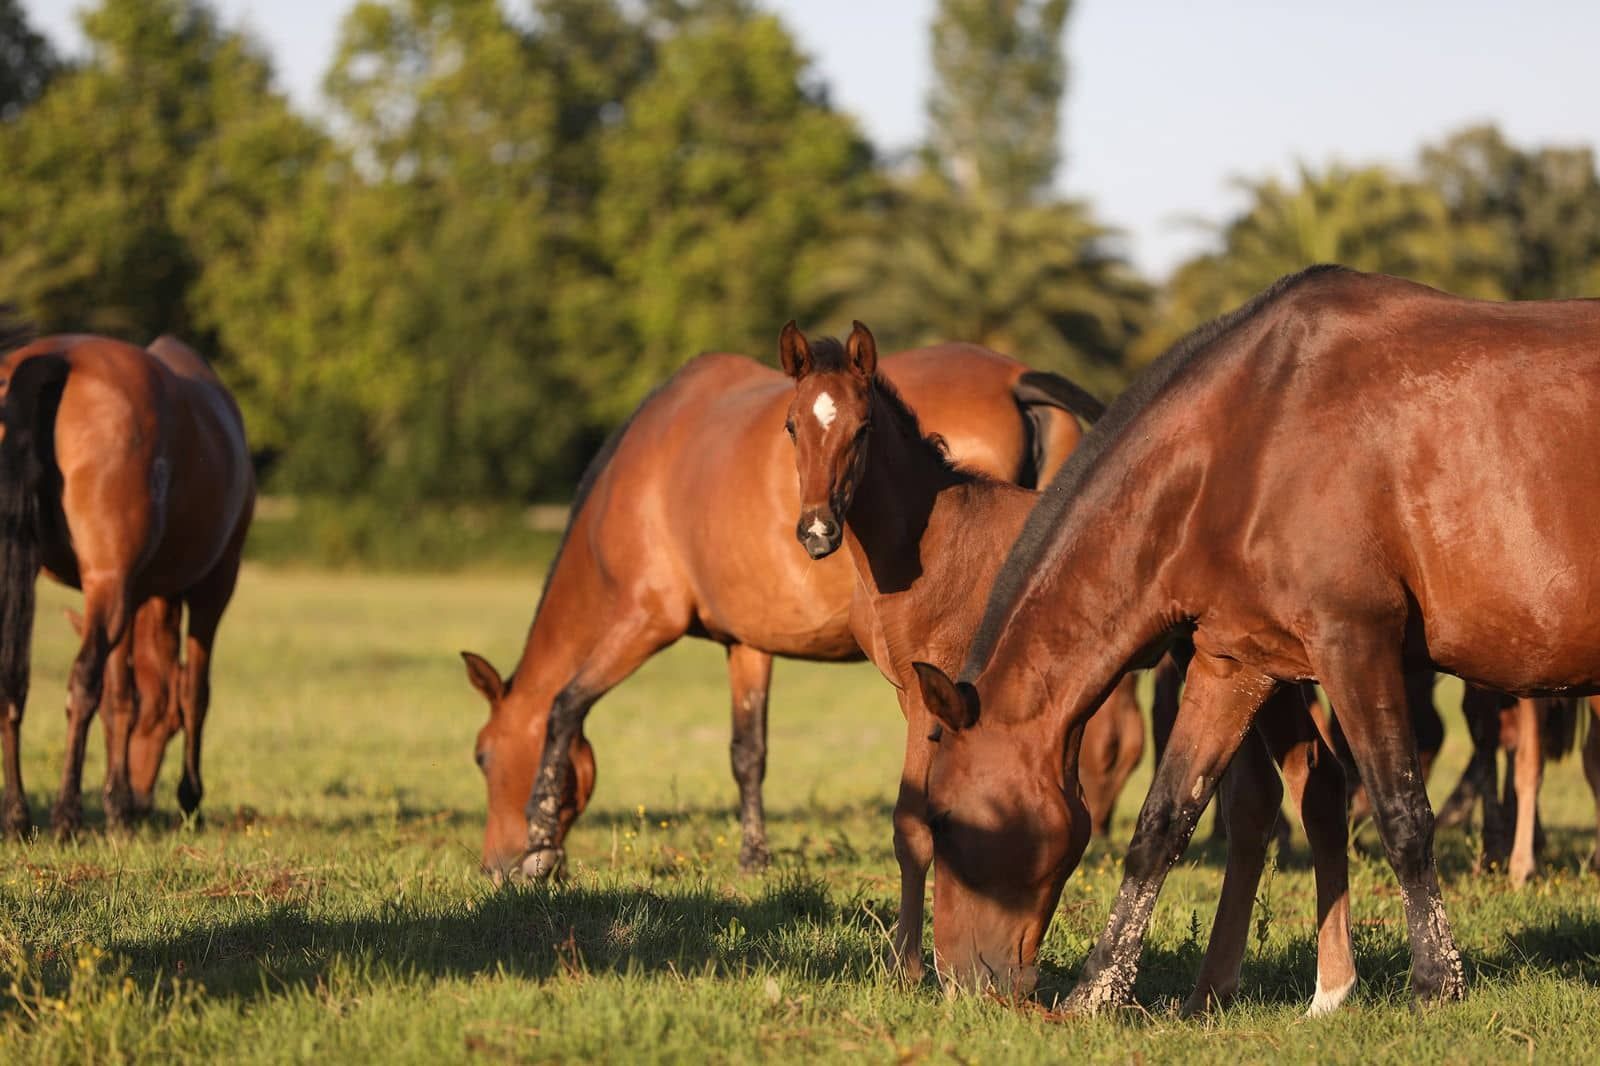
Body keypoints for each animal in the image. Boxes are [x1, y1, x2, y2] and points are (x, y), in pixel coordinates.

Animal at [0, 331, 253, 837]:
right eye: (167, 724)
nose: (142, 798)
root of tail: (57, 357)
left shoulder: (127, 593)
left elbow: (121, 696)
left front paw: (117, 806)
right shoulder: (214, 587)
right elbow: (194, 692)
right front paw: (188, 799)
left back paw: (17, 814)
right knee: (82, 683)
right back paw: (67, 814)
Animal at [463, 345, 1098, 880]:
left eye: (483, 757)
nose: (494, 864)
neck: (642, 478)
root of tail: (1016, 379)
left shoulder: (644, 621)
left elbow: (564, 708)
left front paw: (540, 844)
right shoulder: (746, 645)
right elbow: (748, 752)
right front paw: (754, 857)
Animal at [777, 321, 1350, 1010]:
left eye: (862, 428)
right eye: (791, 426)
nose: (817, 531)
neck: (929, 543)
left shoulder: (930, 697)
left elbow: (913, 826)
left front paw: (906, 971)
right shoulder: (911, 695)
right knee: (1285, 790)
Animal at [910, 266, 1600, 1013]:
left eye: (944, 820)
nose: (961, 983)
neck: (1254, 433)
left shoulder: (1356, 647)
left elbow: (1403, 814)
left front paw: (1435, 984)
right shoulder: (1233, 664)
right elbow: (1164, 821)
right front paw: (1097, 994)